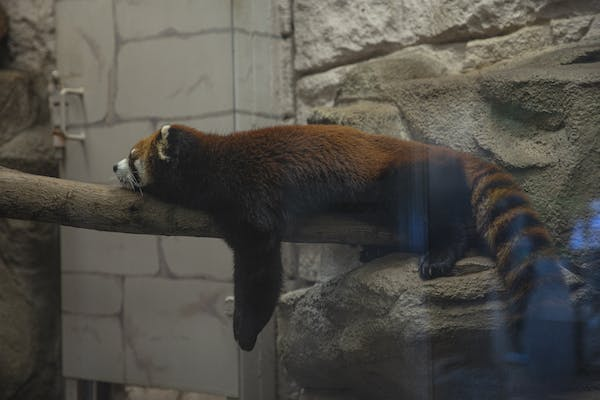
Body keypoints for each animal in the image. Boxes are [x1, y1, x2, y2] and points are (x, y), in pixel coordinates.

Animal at [113, 123, 576, 376]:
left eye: (132, 156)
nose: (113, 166)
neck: (211, 162)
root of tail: (445, 151)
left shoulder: (251, 200)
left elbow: (260, 270)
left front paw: (245, 330)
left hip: (404, 179)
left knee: (442, 218)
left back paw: (441, 253)